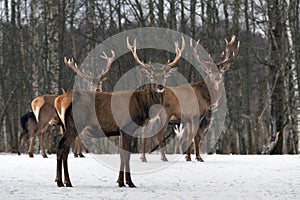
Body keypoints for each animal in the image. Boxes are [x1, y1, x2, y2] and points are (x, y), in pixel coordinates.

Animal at [53, 36, 184, 188]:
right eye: (152, 76)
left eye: (164, 76)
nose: (160, 86)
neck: (142, 105)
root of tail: (61, 101)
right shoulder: (127, 127)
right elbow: (126, 155)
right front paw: (129, 182)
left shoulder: (122, 131)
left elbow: (123, 155)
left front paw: (120, 181)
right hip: (74, 124)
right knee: (61, 148)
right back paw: (64, 182)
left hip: (67, 126)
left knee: (63, 149)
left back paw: (62, 181)